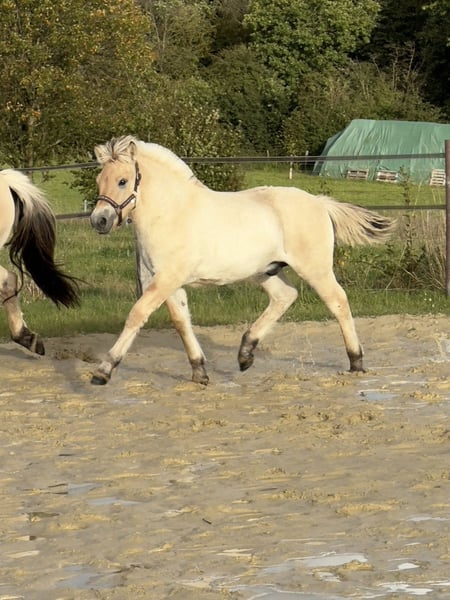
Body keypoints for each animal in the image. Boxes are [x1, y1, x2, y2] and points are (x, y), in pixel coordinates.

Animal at [89, 135, 394, 386]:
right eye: (99, 181)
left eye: (122, 181)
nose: (99, 221)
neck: (172, 212)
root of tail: (320, 202)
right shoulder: (165, 281)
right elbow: (180, 321)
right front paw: (199, 371)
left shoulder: (167, 279)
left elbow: (137, 314)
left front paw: (103, 371)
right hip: (265, 271)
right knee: (285, 296)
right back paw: (245, 353)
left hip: (314, 268)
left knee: (338, 302)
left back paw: (356, 362)